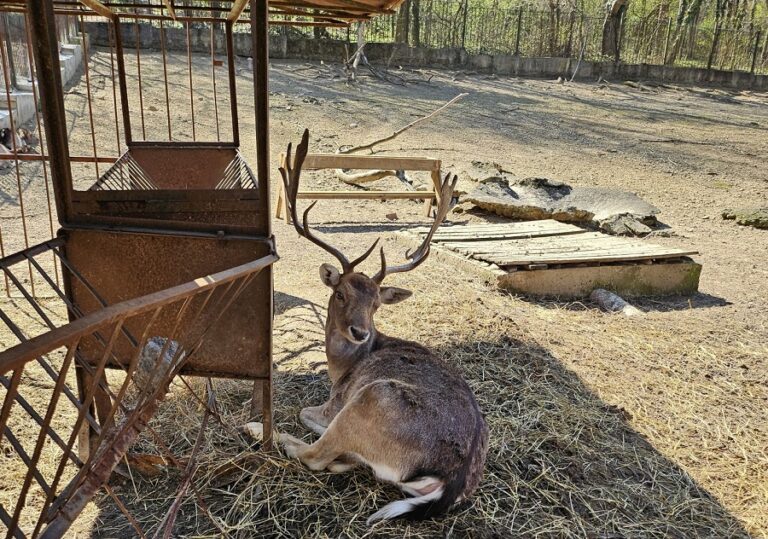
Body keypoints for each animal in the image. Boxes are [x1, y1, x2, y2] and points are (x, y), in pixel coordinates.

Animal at [272, 130, 486, 524]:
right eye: (340, 293)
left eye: (376, 305)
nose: (361, 332)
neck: (341, 369)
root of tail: (449, 483)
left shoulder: (335, 402)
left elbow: (305, 414)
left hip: (371, 398)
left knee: (315, 456)